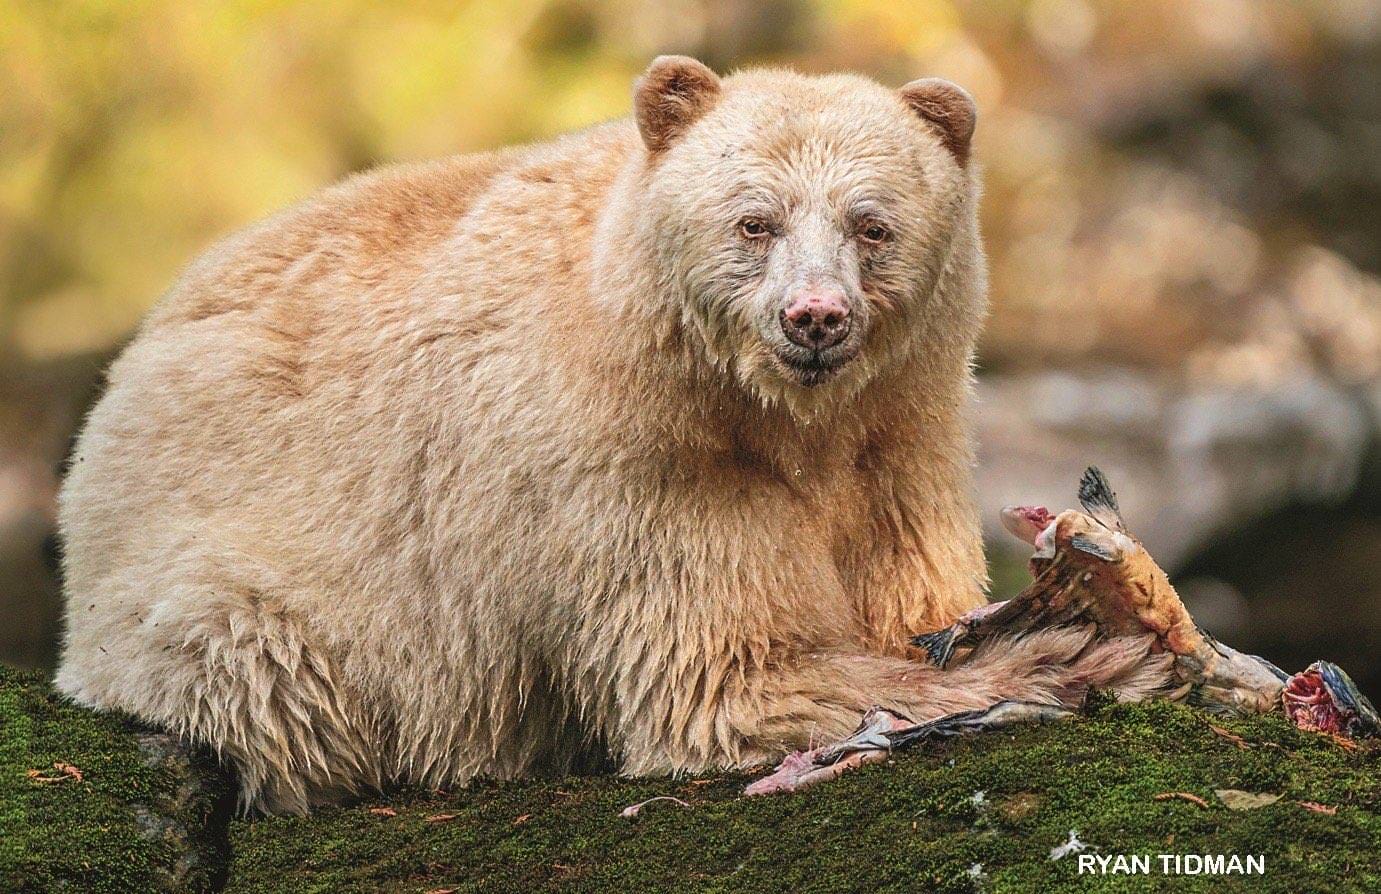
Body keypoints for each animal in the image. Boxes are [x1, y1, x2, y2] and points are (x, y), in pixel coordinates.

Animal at [55, 56, 1170, 813]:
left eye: (872, 224)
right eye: (754, 220)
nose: (814, 318)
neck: (776, 416)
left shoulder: (897, 437)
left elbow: (907, 598)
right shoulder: (632, 468)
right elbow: (727, 669)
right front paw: (1075, 658)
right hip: (237, 581)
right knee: (265, 672)